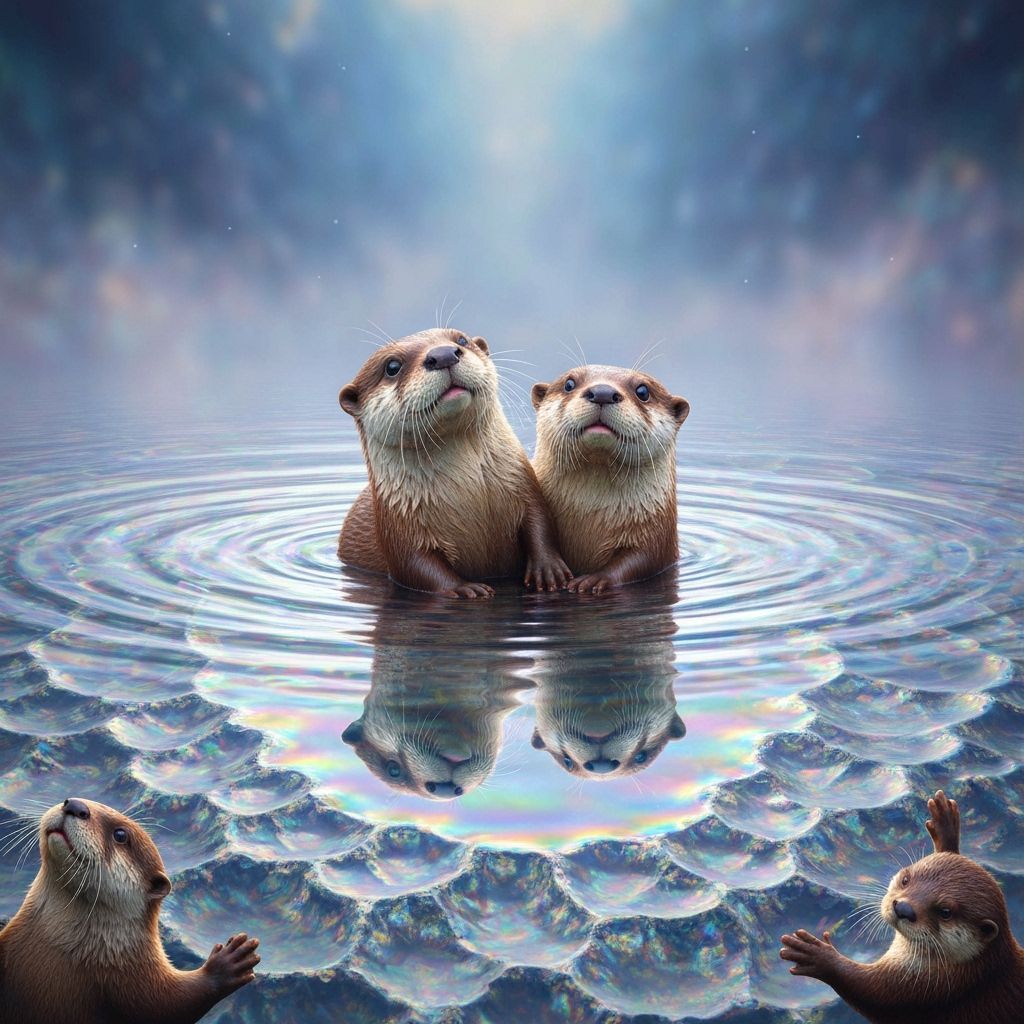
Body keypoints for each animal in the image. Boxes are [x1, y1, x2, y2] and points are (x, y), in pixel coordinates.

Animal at [0, 798, 260, 1024]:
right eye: (68, 799)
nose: (74, 805)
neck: (62, 947)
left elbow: (169, 1005)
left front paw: (228, 963)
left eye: (120, 835)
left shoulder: (135, 981)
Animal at [339, 328, 571, 598]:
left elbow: (540, 524)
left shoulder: (524, 487)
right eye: (392, 366)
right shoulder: (398, 528)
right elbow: (416, 565)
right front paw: (463, 589)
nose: (443, 354)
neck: (470, 494)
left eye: (461, 340)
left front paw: (548, 568)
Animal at [531, 363, 689, 594]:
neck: (589, 512)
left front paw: (594, 579)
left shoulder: (657, 537)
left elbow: (640, 560)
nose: (602, 393)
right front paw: (547, 567)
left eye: (643, 391)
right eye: (569, 384)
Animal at [780, 790, 1024, 1024]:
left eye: (945, 912)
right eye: (906, 879)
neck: (972, 973)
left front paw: (818, 955)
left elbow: (870, 993)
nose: (903, 909)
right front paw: (946, 826)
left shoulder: (922, 991)